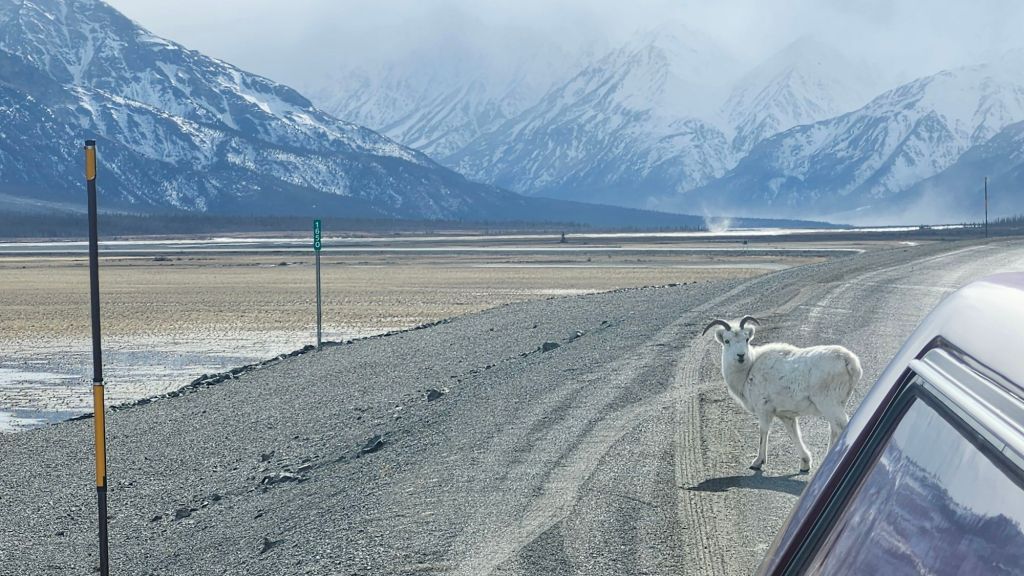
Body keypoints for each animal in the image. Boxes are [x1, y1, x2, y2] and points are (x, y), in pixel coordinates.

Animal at [701, 316, 862, 472]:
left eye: (746, 339)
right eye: (727, 341)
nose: (741, 355)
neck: (749, 371)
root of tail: (849, 361)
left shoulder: (764, 410)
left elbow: (763, 432)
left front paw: (757, 462)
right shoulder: (786, 416)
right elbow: (794, 434)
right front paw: (805, 463)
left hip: (829, 404)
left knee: (841, 426)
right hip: (835, 405)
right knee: (834, 428)